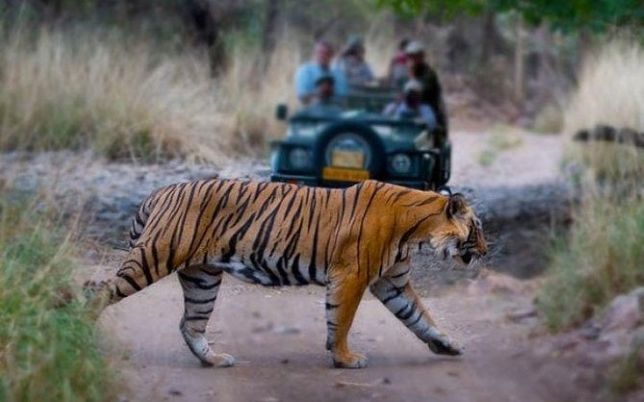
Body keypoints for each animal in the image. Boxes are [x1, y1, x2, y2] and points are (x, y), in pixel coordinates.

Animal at [87, 179, 487, 369]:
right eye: (478, 228)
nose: (485, 252)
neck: (416, 231)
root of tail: (160, 191)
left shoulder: (393, 283)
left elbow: (421, 317)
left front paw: (448, 345)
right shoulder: (353, 276)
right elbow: (341, 321)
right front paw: (345, 359)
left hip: (202, 277)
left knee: (190, 324)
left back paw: (214, 360)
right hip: (154, 256)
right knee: (96, 289)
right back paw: (82, 333)